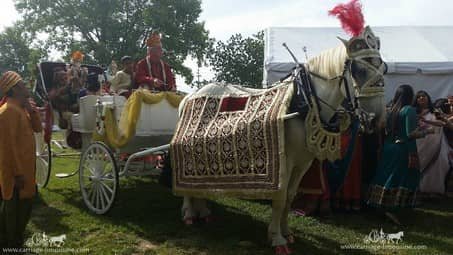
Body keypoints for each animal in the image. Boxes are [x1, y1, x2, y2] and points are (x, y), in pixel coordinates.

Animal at [175, 25, 384, 253]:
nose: (375, 120)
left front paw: (287, 232)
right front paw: (277, 238)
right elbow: (280, 197)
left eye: (384, 68)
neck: (305, 100)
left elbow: (290, 197)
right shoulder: (285, 161)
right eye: (359, 70)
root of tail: (190, 95)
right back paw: (188, 213)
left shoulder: (303, 163)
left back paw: (203, 211)